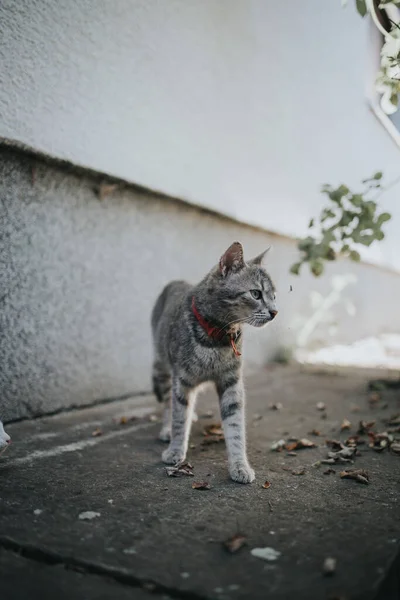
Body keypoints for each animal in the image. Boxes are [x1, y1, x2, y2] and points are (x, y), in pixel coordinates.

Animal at [152, 240, 276, 482]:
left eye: (274, 296)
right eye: (256, 293)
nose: (275, 312)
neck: (217, 339)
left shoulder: (231, 383)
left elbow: (235, 428)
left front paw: (239, 465)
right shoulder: (182, 381)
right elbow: (179, 417)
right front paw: (175, 449)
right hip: (163, 368)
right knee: (167, 403)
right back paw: (166, 429)